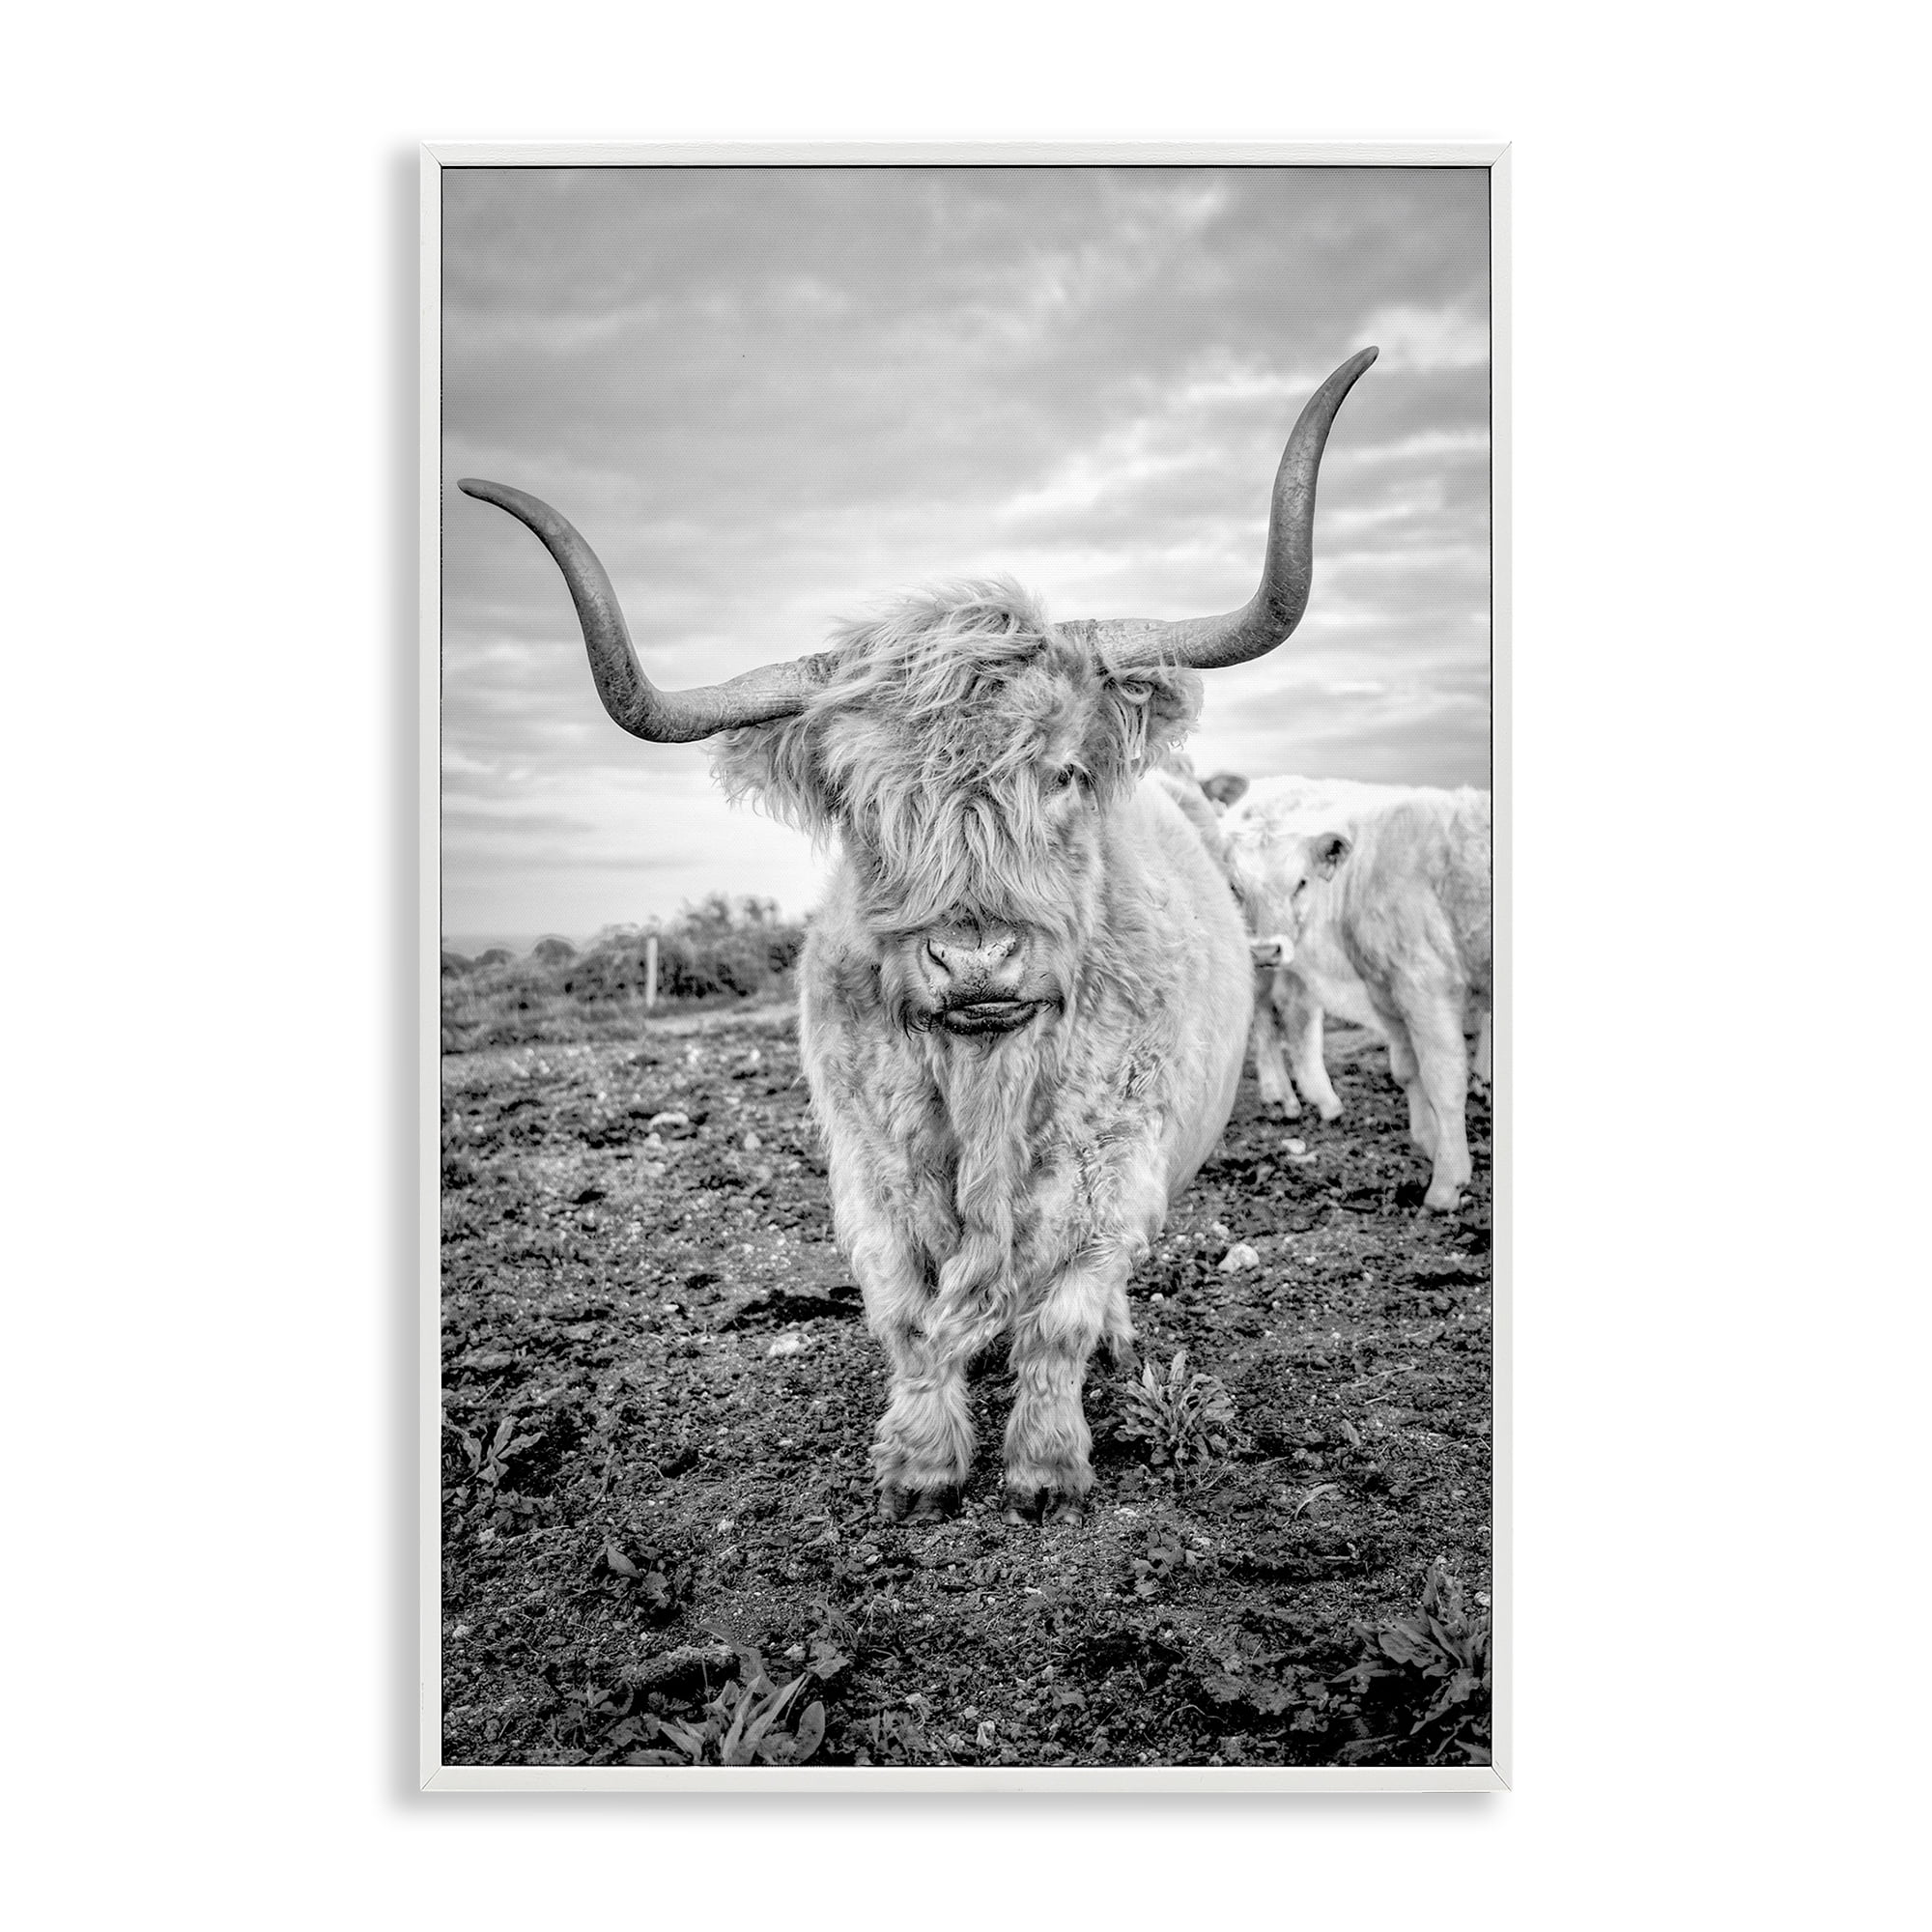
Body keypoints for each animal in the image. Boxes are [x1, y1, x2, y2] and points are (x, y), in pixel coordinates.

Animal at [458, 347, 1376, 1521]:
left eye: (1063, 771)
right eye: (860, 803)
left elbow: (1059, 1316)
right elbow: (905, 1315)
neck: (985, 1078)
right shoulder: (868, 1168)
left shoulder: (1112, 1164)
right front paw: (920, 1463)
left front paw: (1044, 1468)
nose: (975, 958)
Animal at [1220, 776, 1492, 1211]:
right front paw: (1442, 1164)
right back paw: (1291, 1097)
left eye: (1301, 882)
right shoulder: (1404, 986)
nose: (1264, 950)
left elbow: (1433, 1077)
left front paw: (1443, 1173)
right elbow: (1422, 1074)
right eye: (1235, 887)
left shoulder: (1414, 985)